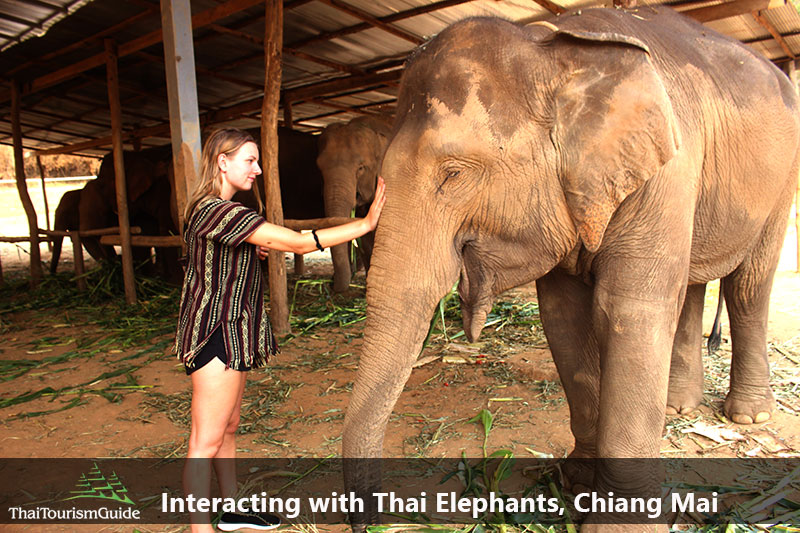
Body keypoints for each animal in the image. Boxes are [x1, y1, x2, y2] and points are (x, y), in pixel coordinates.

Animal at [344, 8, 800, 528]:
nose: (363, 521)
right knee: (691, 284)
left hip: (781, 182)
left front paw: (619, 522)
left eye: (453, 174)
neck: (554, 48)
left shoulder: (667, 171)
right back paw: (675, 405)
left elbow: (629, 314)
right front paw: (577, 483)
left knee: (749, 285)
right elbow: (565, 318)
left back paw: (748, 416)